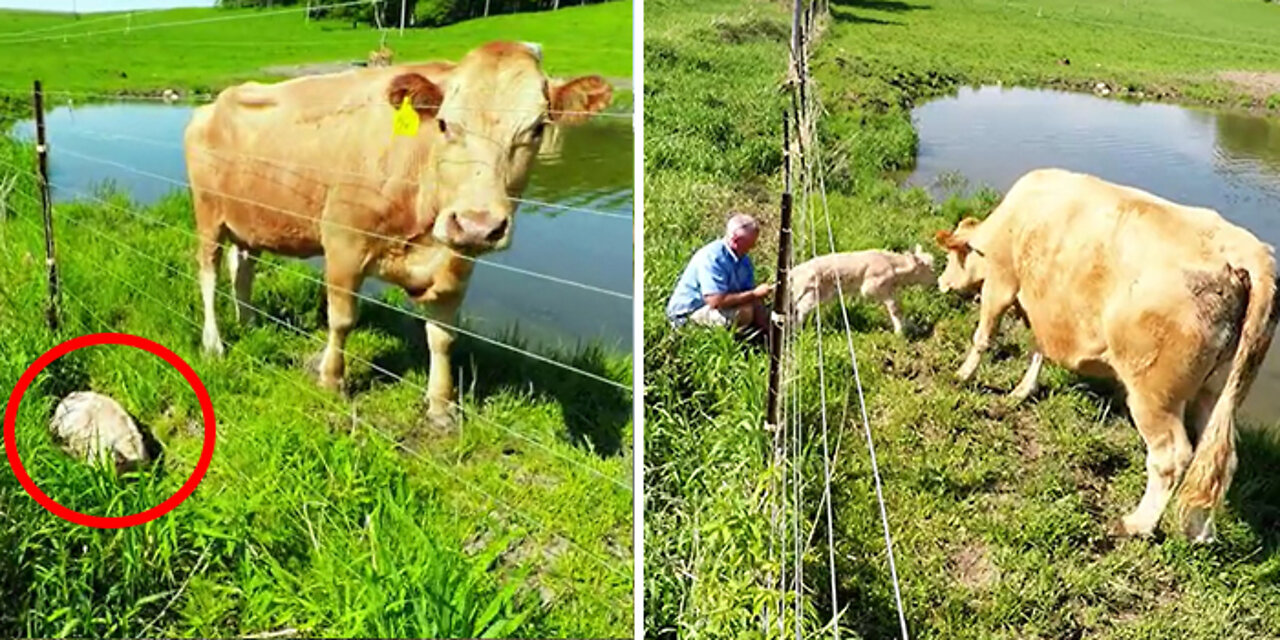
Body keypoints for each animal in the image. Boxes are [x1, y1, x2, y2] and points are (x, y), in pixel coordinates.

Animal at [184, 42, 614, 427]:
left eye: (538, 128)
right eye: (444, 124)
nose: (476, 224)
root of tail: (218, 101)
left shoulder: (458, 264)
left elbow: (442, 336)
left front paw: (441, 406)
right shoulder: (342, 243)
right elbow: (341, 320)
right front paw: (332, 380)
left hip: (249, 220)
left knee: (242, 269)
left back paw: (248, 322)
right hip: (208, 213)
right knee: (208, 274)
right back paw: (214, 343)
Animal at [783, 244, 936, 332]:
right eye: (928, 268)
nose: (935, 281)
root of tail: (793, 272)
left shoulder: (890, 288)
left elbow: (898, 307)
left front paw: (913, 327)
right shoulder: (871, 287)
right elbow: (894, 307)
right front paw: (900, 332)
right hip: (810, 292)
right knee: (801, 310)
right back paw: (797, 332)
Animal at [931, 167, 1280, 542]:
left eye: (952, 257)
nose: (940, 282)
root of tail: (1248, 253)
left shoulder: (1002, 282)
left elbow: (984, 336)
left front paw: (963, 374)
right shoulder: (1044, 307)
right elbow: (1039, 349)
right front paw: (1022, 391)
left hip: (1155, 394)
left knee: (1172, 456)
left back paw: (1137, 524)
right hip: (1216, 390)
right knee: (1214, 458)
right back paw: (1200, 533)